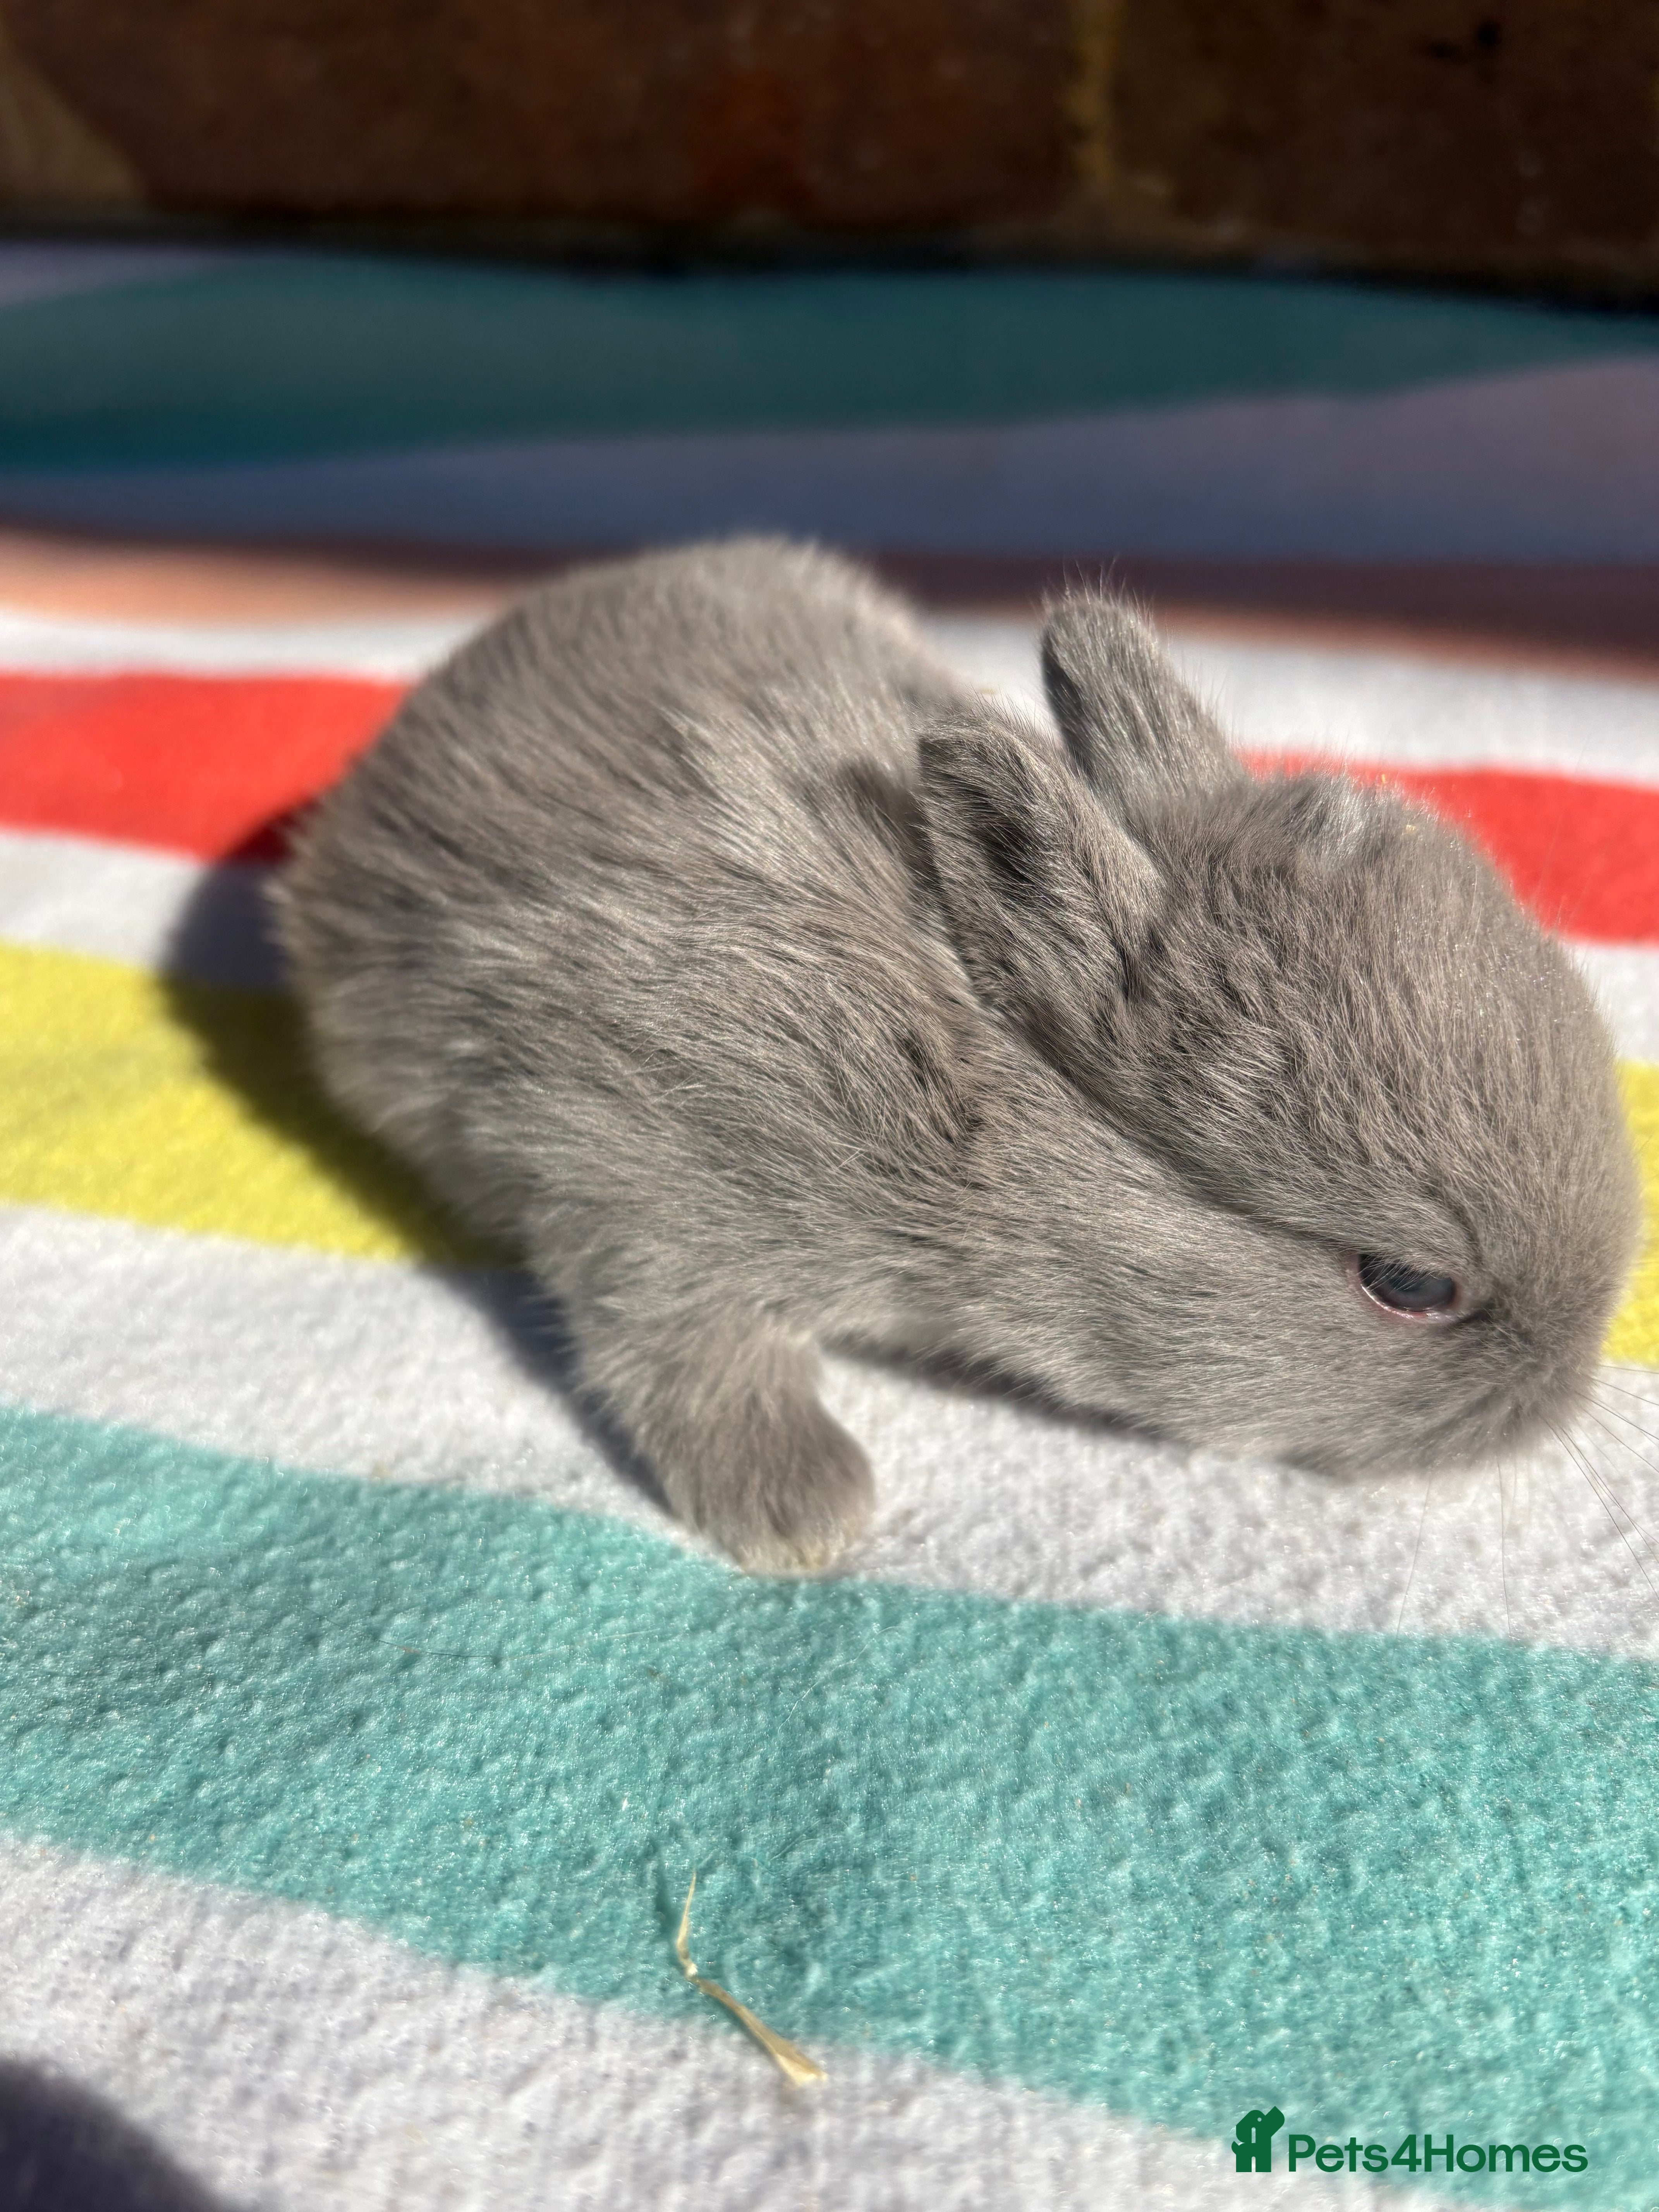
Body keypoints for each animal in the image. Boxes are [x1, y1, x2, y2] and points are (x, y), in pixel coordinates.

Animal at [277, 536, 1642, 1573]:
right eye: (1407, 1283)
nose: (1571, 1388)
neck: (989, 1094)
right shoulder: (635, 1171)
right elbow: (684, 1346)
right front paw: (806, 1513)